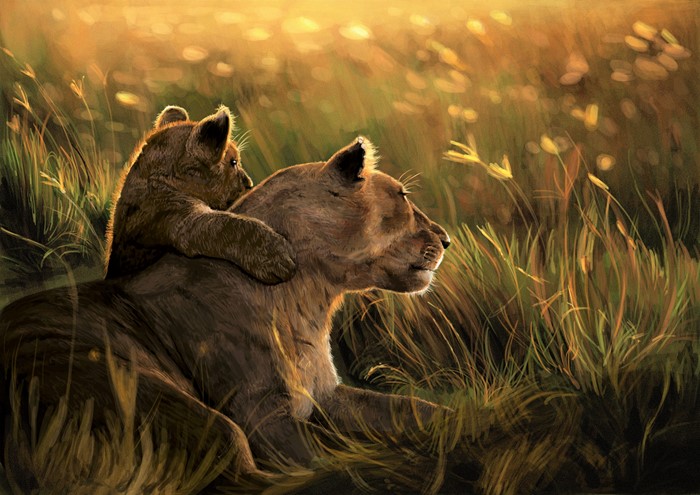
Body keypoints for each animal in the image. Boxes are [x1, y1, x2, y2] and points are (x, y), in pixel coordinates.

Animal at [0, 137, 451, 491]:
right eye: (402, 196)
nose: (446, 239)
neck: (310, 297)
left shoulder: (324, 395)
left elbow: (407, 408)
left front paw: (458, 421)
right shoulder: (261, 413)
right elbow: (313, 453)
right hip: (147, 396)